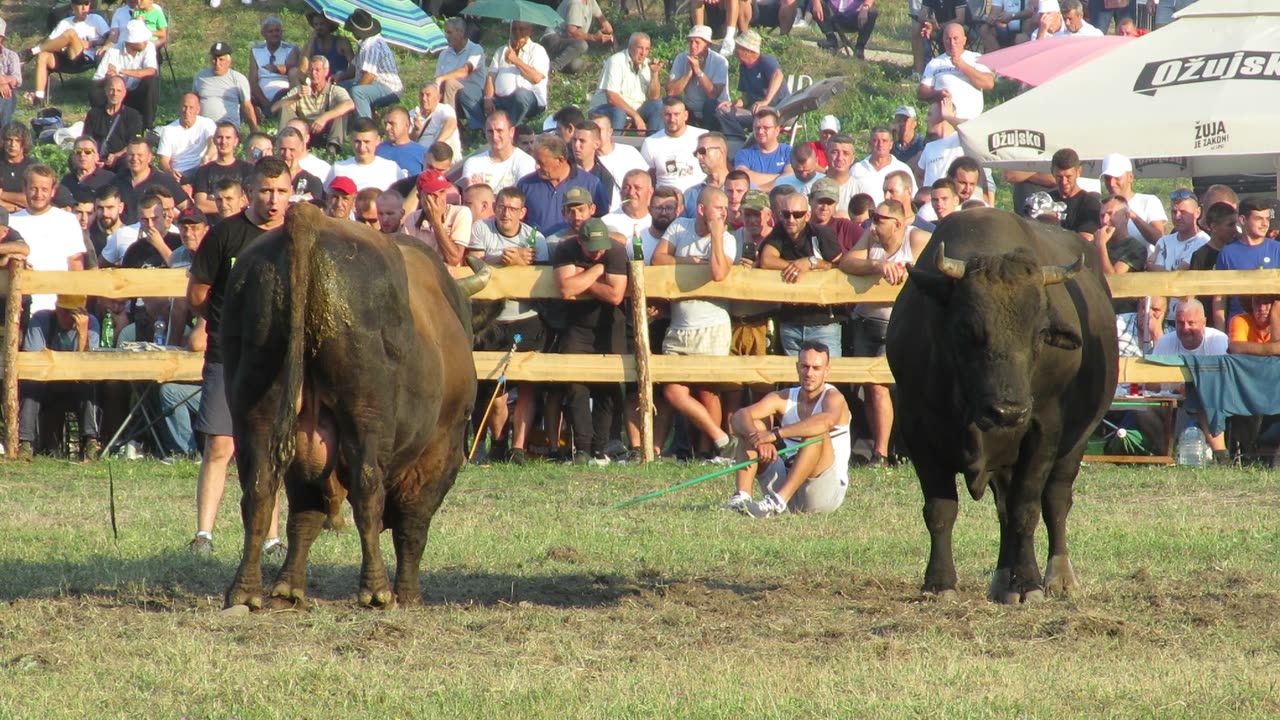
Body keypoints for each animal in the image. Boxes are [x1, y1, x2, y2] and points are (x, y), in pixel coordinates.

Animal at [220, 199, 488, 604]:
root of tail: (309, 217)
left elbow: (304, 516)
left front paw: (288, 587)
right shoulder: (441, 450)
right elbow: (413, 524)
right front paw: (408, 593)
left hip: (258, 410)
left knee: (260, 490)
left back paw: (245, 591)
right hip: (366, 415)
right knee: (368, 492)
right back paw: (376, 590)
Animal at [885, 207, 1116, 599]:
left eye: (1041, 332)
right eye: (966, 328)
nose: (1008, 411)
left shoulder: (1044, 428)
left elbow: (1027, 509)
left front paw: (1027, 582)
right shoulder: (917, 428)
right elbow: (940, 510)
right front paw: (939, 582)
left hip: (1077, 441)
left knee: (1055, 501)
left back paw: (1058, 577)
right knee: (1003, 507)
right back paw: (1001, 581)